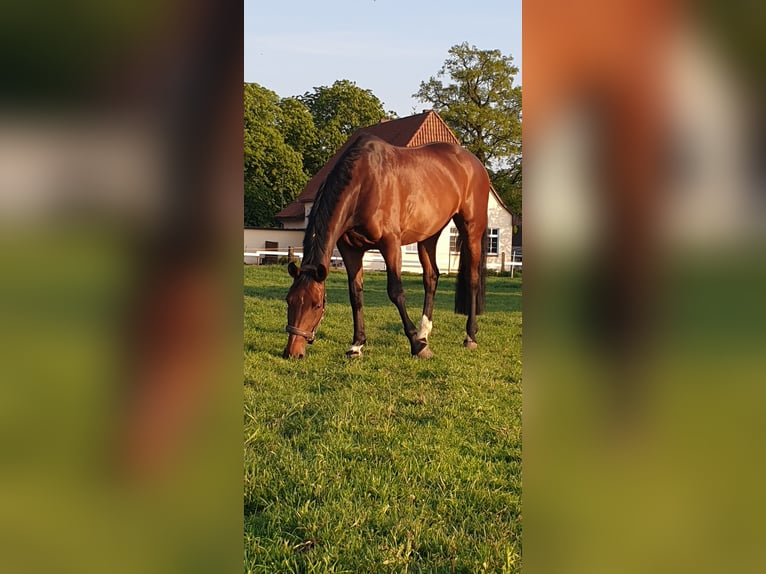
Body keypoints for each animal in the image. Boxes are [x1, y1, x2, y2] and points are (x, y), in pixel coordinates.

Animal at [284, 134, 492, 360]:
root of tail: (475, 163)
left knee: (472, 279)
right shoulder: (350, 250)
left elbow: (396, 292)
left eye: (316, 305)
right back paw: (424, 333)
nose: (292, 352)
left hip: (471, 229)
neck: (363, 184)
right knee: (431, 277)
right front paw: (357, 344)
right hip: (429, 234)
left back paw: (469, 336)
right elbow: (355, 294)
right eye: (289, 300)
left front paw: (417, 346)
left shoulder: (390, 244)